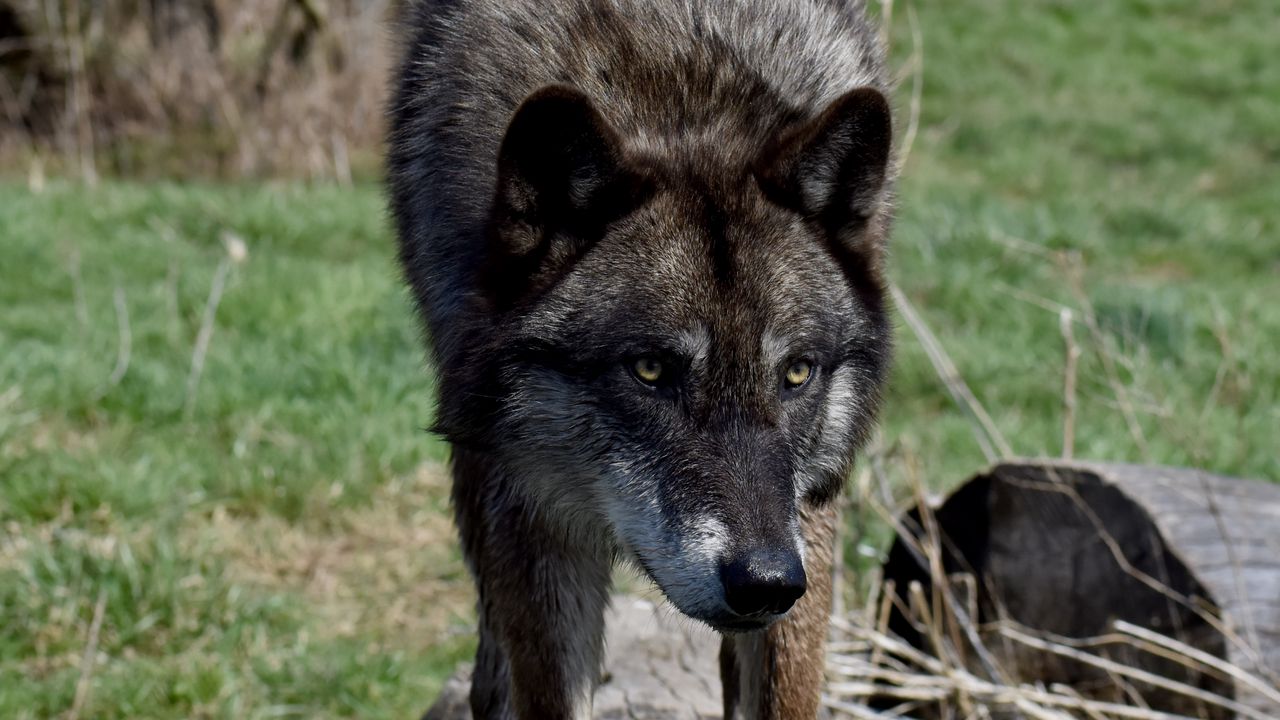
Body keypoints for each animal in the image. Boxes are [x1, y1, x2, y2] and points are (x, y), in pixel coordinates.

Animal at [387, 0, 895, 717]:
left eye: (797, 372)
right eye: (650, 370)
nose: (764, 582)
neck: (677, 87)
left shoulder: (809, 510)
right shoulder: (526, 505)